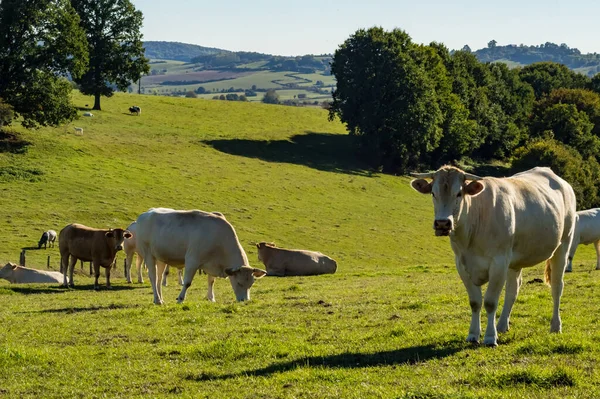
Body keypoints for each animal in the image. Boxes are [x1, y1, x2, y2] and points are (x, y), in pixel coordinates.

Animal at [137, 208, 268, 304]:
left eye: (251, 284)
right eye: (239, 283)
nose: (245, 301)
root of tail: (144, 215)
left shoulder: (212, 263)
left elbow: (211, 281)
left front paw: (211, 298)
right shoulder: (192, 260)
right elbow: (187, 282)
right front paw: (180, 298)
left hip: (161, 258)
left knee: (159, 278)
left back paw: (159, 298)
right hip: (148, 254)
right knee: (153, 277)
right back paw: (158, 300)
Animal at [412, 166, 576, 346]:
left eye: (459, 193)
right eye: (433, 193)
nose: (442, 223)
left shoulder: (499, 262)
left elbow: (490, 302)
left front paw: (490, 337)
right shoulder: (462, 265)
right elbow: (475, 302)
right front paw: (473, 334)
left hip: (563, 244)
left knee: (557, 286)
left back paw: (555, 326)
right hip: (514, 259)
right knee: (513, 289)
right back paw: (502, 325)